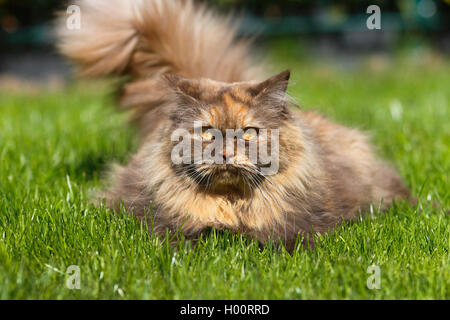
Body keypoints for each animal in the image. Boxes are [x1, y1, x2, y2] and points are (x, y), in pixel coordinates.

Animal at [57, 0, 412, 250]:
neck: (231, 206)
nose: (226, 154)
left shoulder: (303, 224)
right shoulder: (163, 222)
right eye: (206, 133)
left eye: (250, 133)